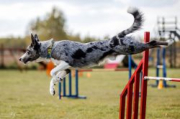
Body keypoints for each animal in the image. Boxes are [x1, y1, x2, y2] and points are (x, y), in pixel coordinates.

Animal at [19, 7, 168, 95]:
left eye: (28, 51)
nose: (20, 59)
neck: (51, 48)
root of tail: (116, 37)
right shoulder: (67, 69)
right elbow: (54, 77)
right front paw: (53, 88)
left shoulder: (66, 63)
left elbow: (52, 72)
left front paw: (55, 79)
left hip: (133, 48)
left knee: (151, 43)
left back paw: (165, 43)